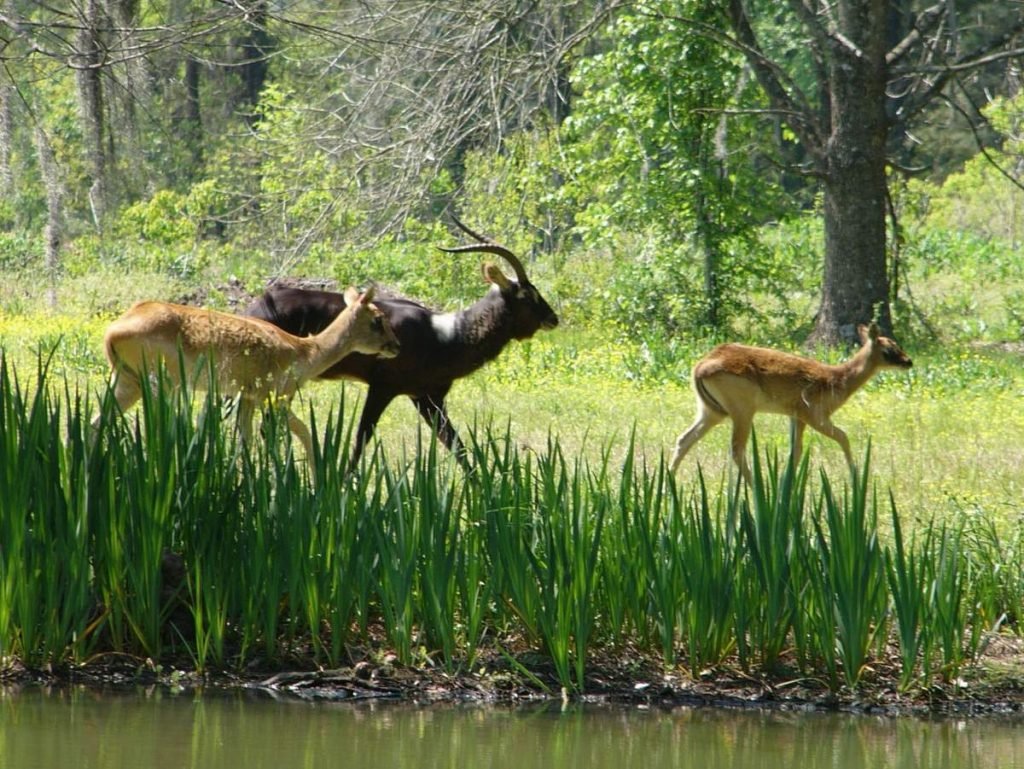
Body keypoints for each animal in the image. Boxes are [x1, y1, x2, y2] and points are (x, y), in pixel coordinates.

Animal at [91, 286, 399, 473]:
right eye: (377, 319)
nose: (396, 346)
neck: (303, 351)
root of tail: (112, 330)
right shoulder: (273, 400)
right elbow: (304, 432)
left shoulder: (247, 399)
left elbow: (246, 440)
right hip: (161, 386)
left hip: (127, 384)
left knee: (95, 422)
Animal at [242, 218, 557, 468]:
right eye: (527, 294)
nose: (553, 318)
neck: (445, 336)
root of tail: (258, 305)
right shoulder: (383, 389)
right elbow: (360, 440)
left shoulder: (428, 399)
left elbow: (457, 447)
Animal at [671, 323, 913, 481]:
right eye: (889, 349)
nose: (909, 362)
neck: (837, 381)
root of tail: (700, 367)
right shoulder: (814, 414)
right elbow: (843, 437)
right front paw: (855, 475)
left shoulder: (796, 417)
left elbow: (795, 452)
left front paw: (788, 483)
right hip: (742, 410)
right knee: (736, 450)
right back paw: (755, 486)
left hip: (711, 411)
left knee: (684, 439)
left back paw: (669, 480)